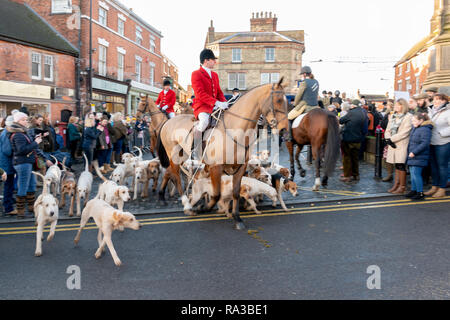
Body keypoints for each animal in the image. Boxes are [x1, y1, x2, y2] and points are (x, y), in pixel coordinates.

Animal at [155, 80, 288, 230]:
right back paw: (187, 204)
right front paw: (203, 208)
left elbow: (235, 192)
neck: (235, 131)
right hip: (174, 156)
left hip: (182, 155)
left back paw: (161, 197)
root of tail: (168, 121)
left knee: (168, 172)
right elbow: (216, 194)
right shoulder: (216, 168)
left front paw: (237, 218)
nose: (284, 130)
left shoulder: (239, 168)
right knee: (176, 177)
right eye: (278, 100)